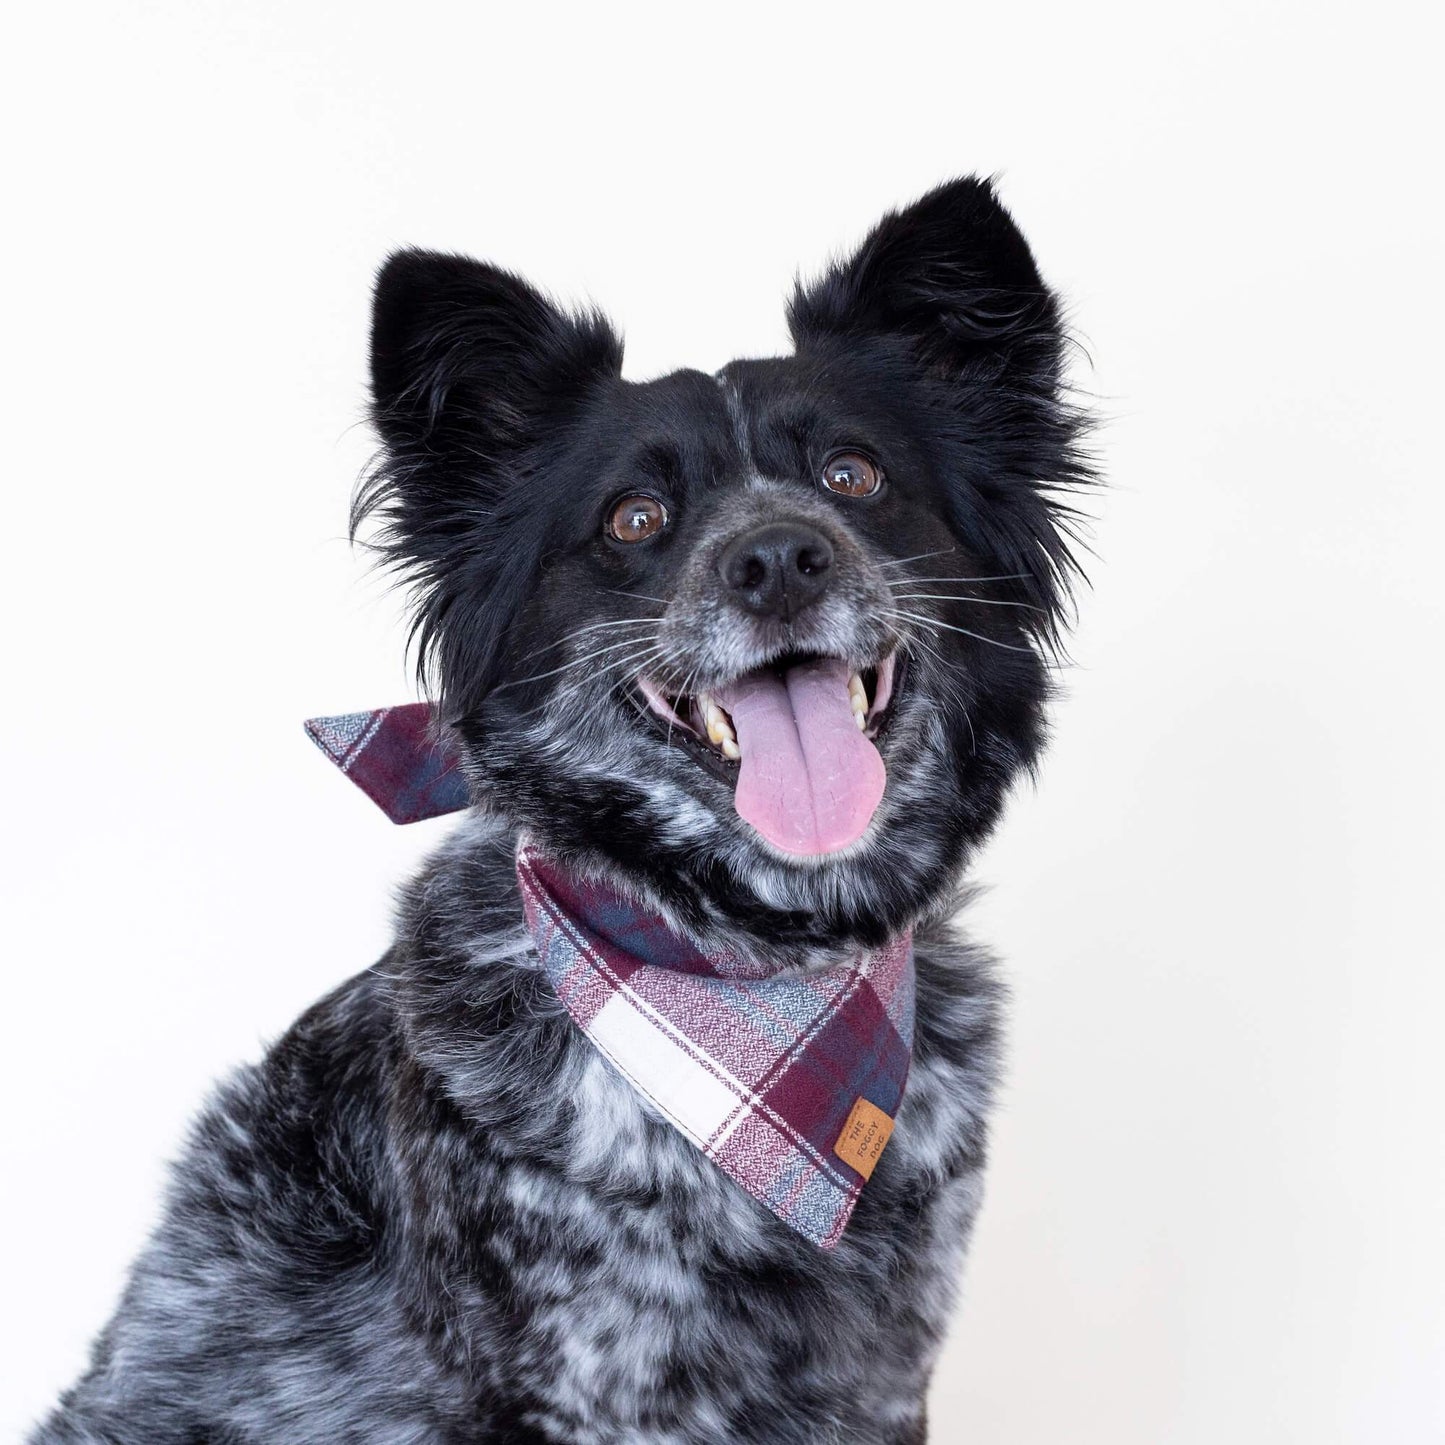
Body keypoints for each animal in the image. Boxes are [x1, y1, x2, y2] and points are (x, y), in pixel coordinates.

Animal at [33, 174, 1086, 1439]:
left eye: (853, 476)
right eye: (633, 518)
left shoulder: (882, 1375)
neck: (758, 988)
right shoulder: (582, 1379)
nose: (778, 558)